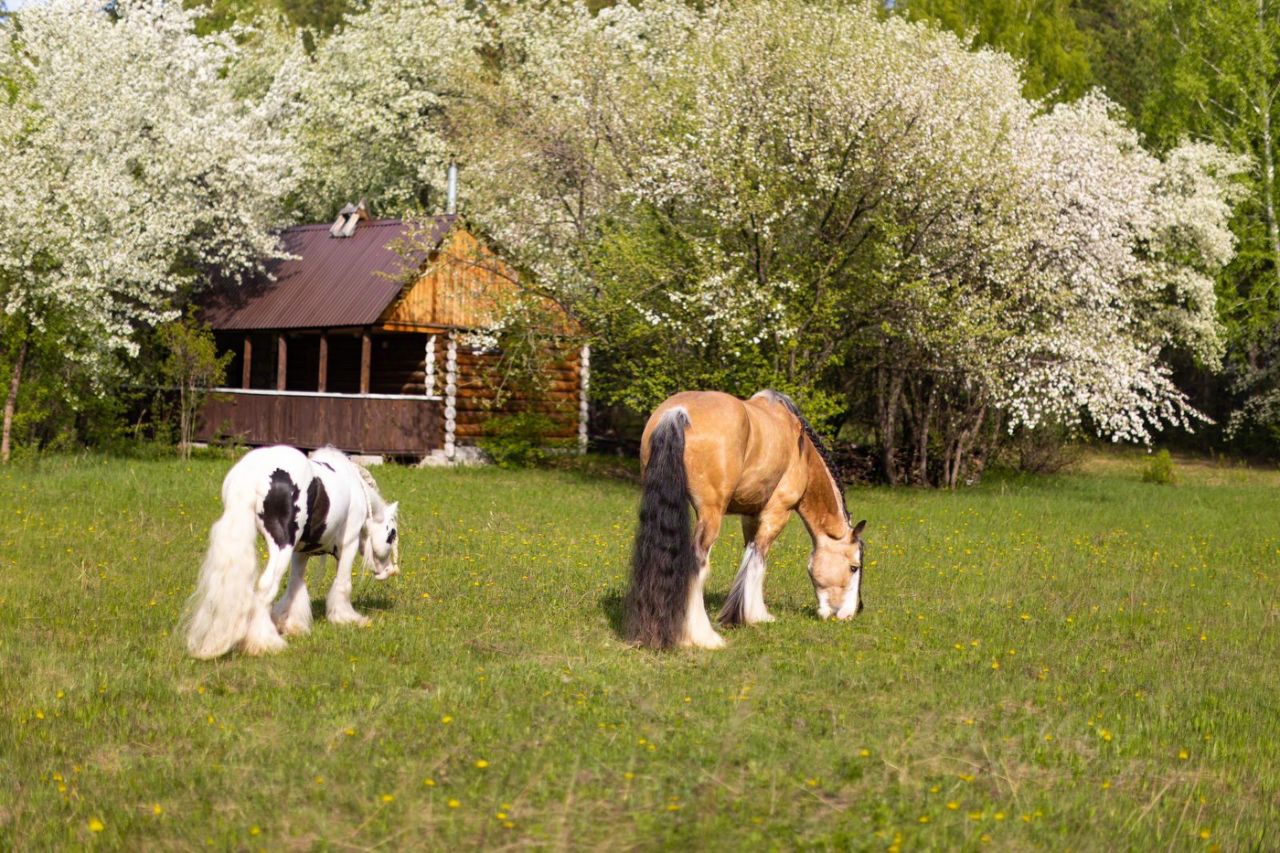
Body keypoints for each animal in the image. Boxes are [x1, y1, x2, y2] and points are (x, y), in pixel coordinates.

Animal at [183, 445, 396, 655]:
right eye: (392, 534)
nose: (389, 571)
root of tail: (252, 475)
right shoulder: (348, 544)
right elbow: (343, 584)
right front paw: (346, 618)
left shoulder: (300, 553)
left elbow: (295, 587)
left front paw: (291, 624)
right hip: (281, 546)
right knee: (266, 586)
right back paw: (266, 642)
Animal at [624, 389, 865, 648]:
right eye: (854, 567)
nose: (851, 612)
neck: (802, 453)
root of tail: (676, 412)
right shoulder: (776, 513)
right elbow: (759, 559)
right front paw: (758, 615)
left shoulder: (749, 516)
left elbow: (749, 555)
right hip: (711, 515)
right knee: (698, 562)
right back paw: (704, 636)